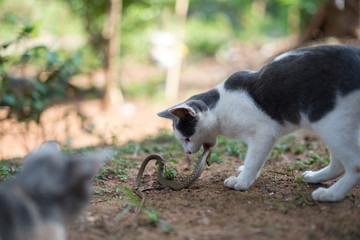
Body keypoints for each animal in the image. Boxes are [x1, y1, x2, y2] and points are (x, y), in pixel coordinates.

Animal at [159, 44, 360, 202]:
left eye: (186, 138)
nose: (187, 152)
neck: (220, 108)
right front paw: (242, 172)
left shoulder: (264, 134)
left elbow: (253, 161)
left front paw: (241, 181)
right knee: (338, 163)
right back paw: (315, 178)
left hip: (330, 123)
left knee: (354, 165)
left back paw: (331, 194)